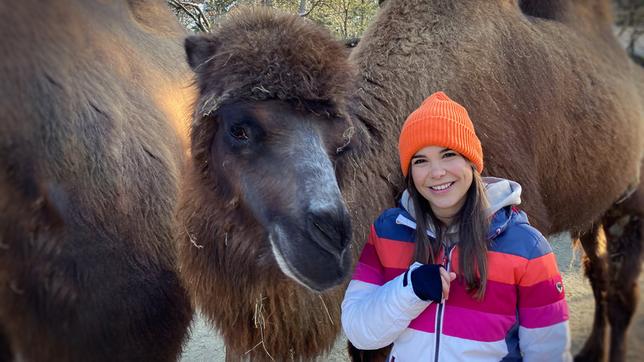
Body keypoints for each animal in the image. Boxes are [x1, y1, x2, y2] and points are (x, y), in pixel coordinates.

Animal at [179, 0, 644, 362]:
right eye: (237, 128)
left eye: (341, 137)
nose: (326, 241)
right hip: (595, 212)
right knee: (600, 277)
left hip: (632, 207)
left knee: (621, 294)